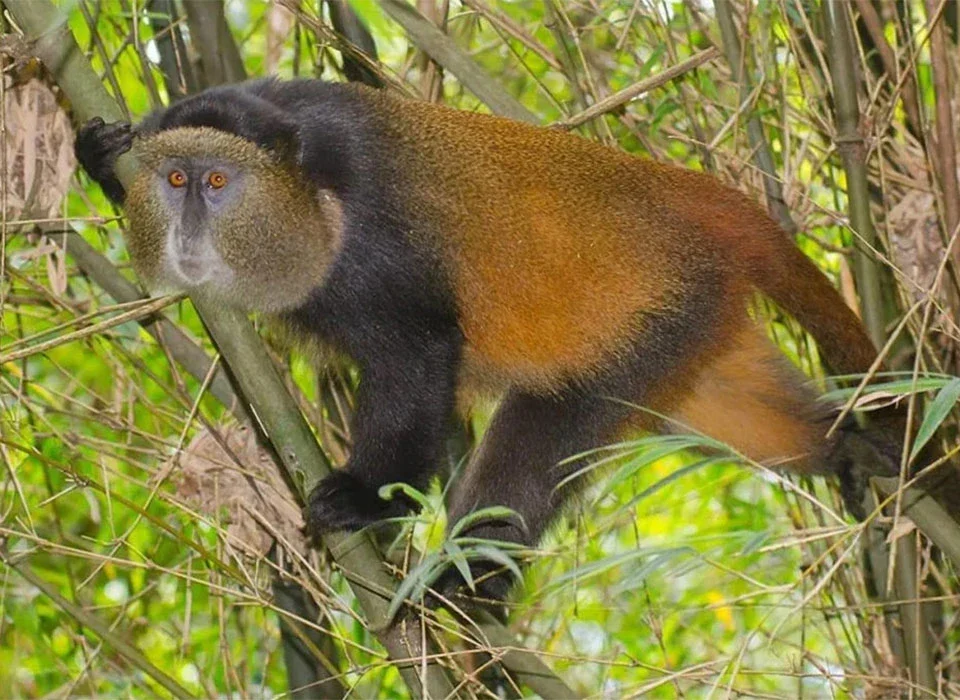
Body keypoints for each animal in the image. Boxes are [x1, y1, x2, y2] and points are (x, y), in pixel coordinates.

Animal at [75, 77, 922, 603]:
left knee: (546, 431)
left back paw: (466, 583)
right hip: (693, 330)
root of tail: (696, 195)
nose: (187, 230)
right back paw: (844, 446)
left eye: (217, 184)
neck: (304, 185)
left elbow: (420, 359)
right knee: (741, 413)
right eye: (174, 181)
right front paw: (104, 159)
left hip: (655, 315)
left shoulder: (373, 247)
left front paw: (365, 495)